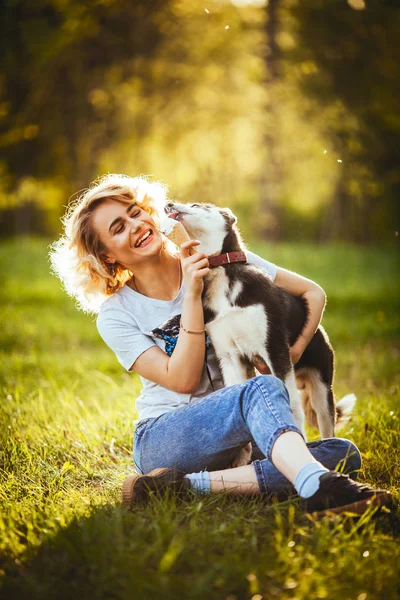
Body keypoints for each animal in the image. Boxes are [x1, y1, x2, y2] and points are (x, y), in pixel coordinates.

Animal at [164, 200, 354, 464]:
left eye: (197, 204)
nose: (168, 203)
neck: (222, 272)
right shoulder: (230, 357)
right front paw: (240, 457)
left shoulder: (275, 349)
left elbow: (291, 407)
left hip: (322, 389)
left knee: (327, 424)